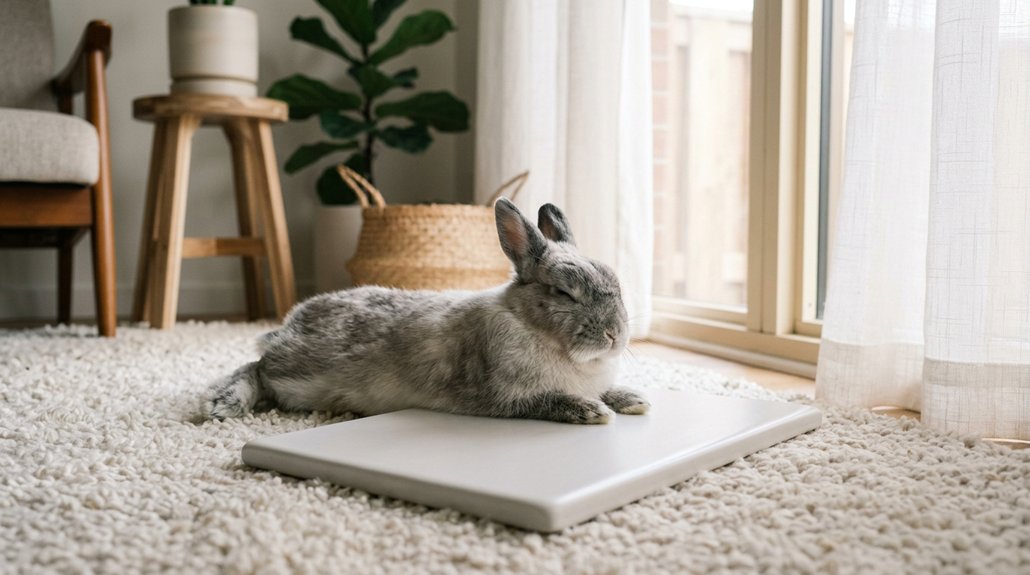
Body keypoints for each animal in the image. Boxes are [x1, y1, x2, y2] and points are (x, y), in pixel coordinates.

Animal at [206, 198, 649, 425]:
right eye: (563, 292)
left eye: (616, 282)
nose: (615, 335)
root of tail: (288, 326)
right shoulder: (499, 397)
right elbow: (547, 401)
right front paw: (593, 411)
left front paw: (633, 399)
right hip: (295, 370)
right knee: (256, 367)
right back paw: (224, 403)